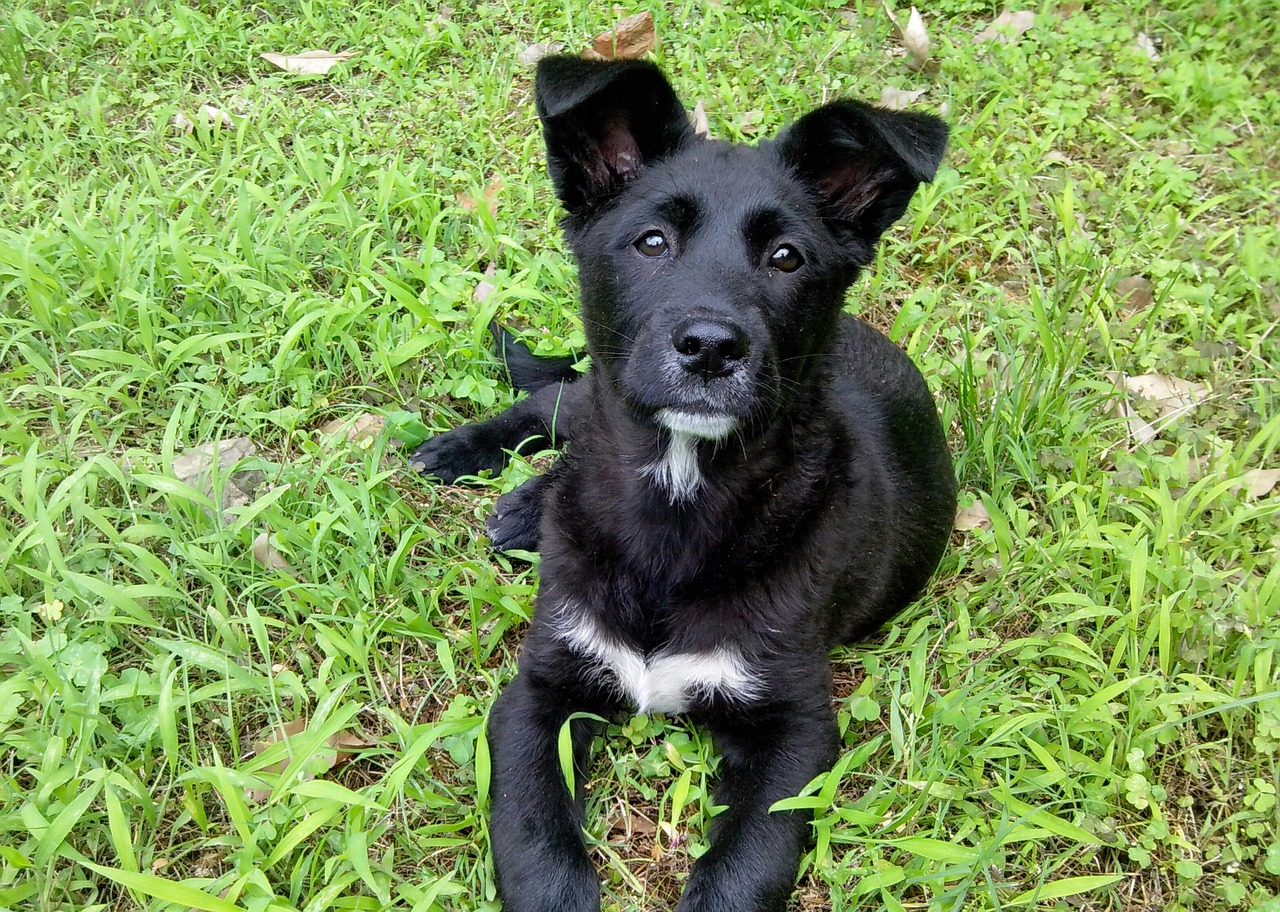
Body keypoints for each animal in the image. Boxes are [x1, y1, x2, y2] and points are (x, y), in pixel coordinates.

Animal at [414, 58, 957, 912]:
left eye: (787, 258)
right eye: (651, 241)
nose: (710, 347)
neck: (678, 498)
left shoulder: (795, 729)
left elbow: (744, 868)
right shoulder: (538, 692)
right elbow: (535, 838)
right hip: (596, 394)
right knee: (558, 400)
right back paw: (476, 463)